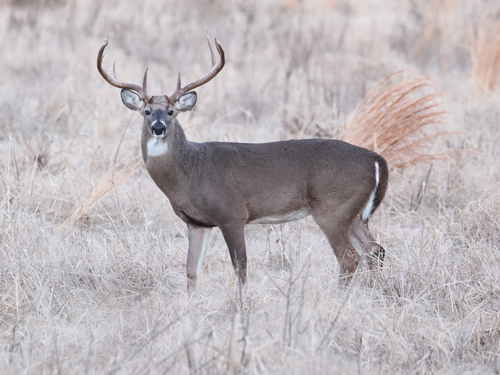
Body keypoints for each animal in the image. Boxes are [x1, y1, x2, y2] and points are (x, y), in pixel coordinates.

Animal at [96, 36, 386, 294]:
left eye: (171, 112)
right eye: (146, 112)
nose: (158, 127)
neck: (190, 171)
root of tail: (376, 159)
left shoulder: (232, 214)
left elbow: (241, 267)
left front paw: (241, 305)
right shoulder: (196, 223)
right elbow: (191, 269)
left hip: (332, 208)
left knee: (350, 257)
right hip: (353, 212)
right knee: (374, 250)